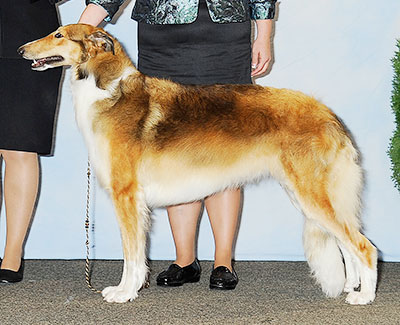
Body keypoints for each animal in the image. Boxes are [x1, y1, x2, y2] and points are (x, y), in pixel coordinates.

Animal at [18, 24, 376, 302]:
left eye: (59, 34)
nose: (21, 50)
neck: (108, 91)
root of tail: (330, 117)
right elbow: (137, 256)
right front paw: (129, 290)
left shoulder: (127, 197)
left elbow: (132, 257)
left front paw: (124, 293)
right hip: (308, 196)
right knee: (348, 246)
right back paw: (352, 287)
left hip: (312, 194)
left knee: (365, 247)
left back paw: (364, 297)